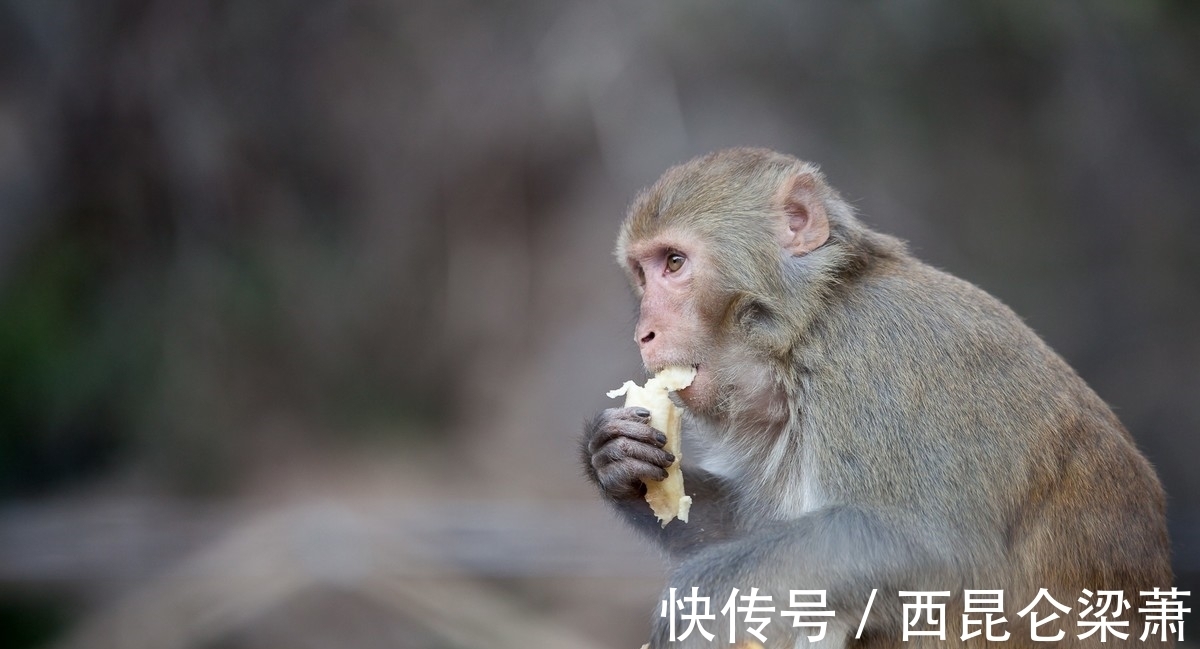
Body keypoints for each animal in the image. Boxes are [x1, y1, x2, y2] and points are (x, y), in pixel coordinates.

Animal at [580, 149, 1171, 643]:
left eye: (674, 263)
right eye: (642, 274)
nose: (644, 333)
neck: (808, 326)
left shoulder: (874, 359)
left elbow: (924, 546)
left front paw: (693, 601)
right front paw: (612, 458)